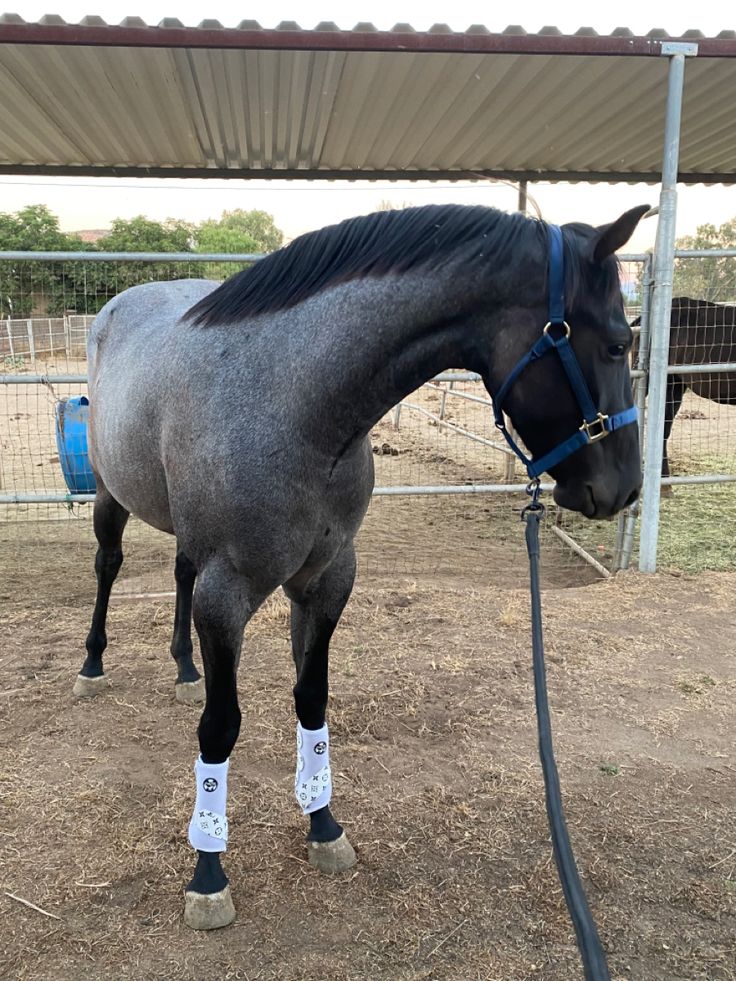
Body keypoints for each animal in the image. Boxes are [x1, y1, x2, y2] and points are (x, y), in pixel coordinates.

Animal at [72, 201, 648, 928]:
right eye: (616, 343)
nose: (626, 487)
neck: (292, 405)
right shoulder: (227, 593)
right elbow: (221, 726)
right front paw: (207, 869)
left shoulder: (325, 581)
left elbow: (312, 700)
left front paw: (323, 822)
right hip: (109, 496)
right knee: (108, 565)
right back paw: (92, 664)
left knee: (177, 575)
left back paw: (183, 667)